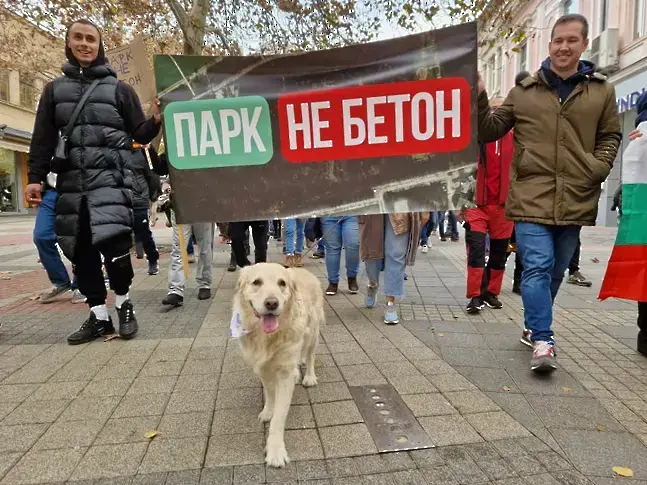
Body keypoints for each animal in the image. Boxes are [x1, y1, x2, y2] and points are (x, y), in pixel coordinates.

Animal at [232, 262, 324, 467]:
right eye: (256, 282)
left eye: (282, 283)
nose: (272, 303)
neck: (268, 337)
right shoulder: (263, 367)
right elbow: (269, 394)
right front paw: (268, 410)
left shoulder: (284, 375)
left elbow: (279, 418)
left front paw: (275, 451)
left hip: (313, 333)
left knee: (310, 355)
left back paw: (309, 377)